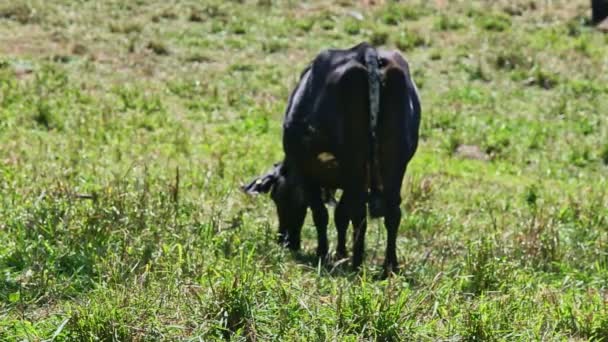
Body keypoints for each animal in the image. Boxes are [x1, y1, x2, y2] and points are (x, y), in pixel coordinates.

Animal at [240, 41, 420, 274]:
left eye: (276, 197)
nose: (283, 240)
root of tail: (366, 51)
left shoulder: (308, 172)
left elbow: (322, 214)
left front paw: (324, 253)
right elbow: (341, 214)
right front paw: (340, 252)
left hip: (355, 163)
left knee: (359, 213)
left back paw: (357, 263)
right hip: (395, 163)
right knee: (391, 213)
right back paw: (389, 266)